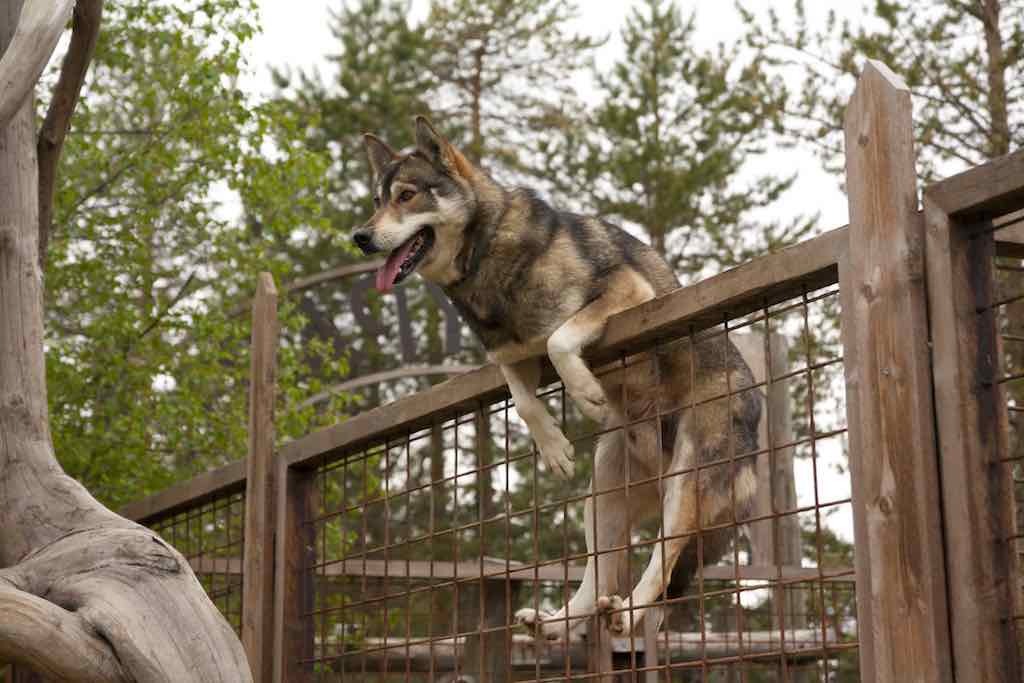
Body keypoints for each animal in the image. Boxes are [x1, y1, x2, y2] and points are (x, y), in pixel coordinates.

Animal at [352, 118, 761, 643]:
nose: (360, 237)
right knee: (598, 573)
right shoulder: (507, 355)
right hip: (602, 495)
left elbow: (559, 340)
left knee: (661, 564)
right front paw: (554, 448)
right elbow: (524, 399)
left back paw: (628, 612)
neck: (487, 257)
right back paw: (556, 623)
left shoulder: (627, 293)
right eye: (375, 200)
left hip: (685, 484)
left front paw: (586, 395)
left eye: (406, 195)